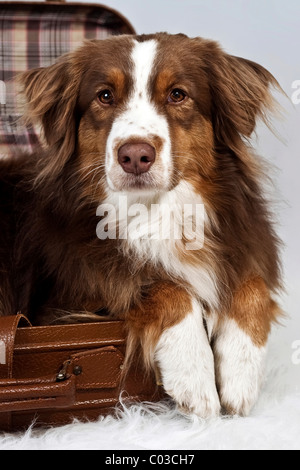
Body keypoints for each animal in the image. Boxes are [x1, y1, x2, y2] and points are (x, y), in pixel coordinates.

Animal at [0, 34, 282, 418]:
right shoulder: (57, 306)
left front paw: (241, 375)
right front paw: (195, 377)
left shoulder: (245, 245)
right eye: (105, 96)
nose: (134, 155)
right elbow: (160, 285)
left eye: (177, 94)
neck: (153, 211)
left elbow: (253, 286)